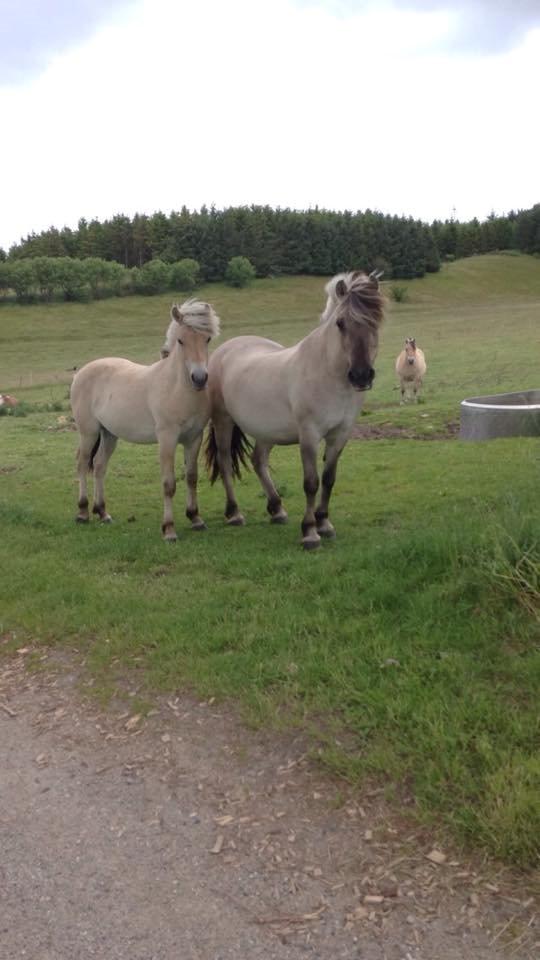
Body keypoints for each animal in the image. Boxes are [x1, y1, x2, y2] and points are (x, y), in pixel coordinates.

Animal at [71, 300, 219, 540]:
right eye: (181, 340)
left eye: (207, 339)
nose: (199, 378)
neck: (176, 388)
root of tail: (81, 372)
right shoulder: (167, 438)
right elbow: (169, 484)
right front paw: (169, 529)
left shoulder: (194, 438)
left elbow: (191, 477)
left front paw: (195, 518)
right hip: (88, 432)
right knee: (83, 464)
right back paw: (83, 512)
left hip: (109, 434)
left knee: (100, 465)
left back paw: (102, 512)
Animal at [205, 270, 386, 552]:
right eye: (341, 323)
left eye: (375, 322)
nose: (361, 376)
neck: (328, 375)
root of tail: (227, 348)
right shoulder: (309, 435)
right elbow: (311, 482)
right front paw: (310, 532)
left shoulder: (341, 434)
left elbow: (329, 478)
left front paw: (324, 523)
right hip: (223, 421)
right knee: (225, 463)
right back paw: (234, 513)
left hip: (266, 431)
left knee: (259, 461)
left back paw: (277, 509)